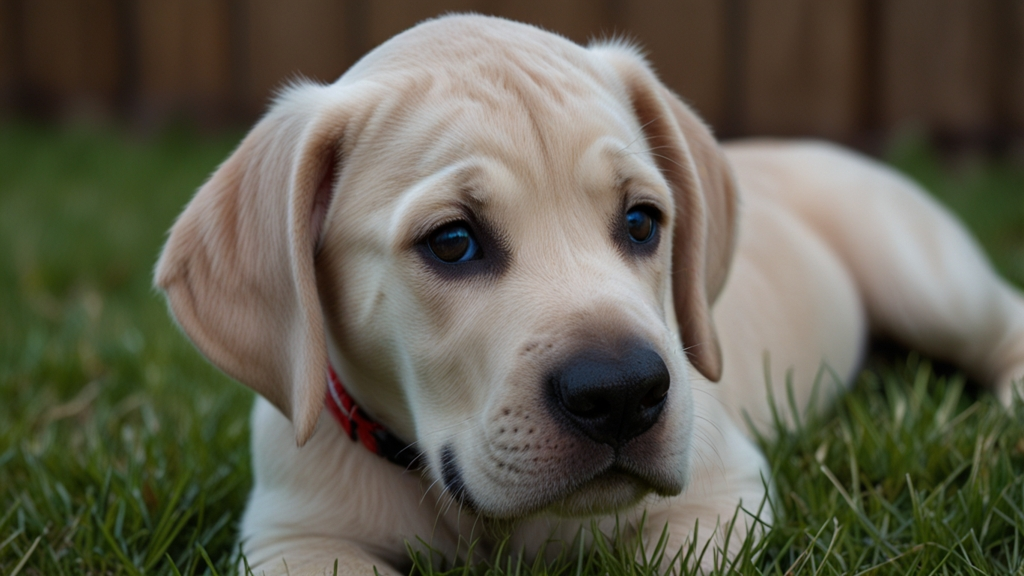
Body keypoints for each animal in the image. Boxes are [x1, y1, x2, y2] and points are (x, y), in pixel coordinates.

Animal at [151, 13, 1024, 573]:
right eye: (452, 242)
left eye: (641, 223)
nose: (624, 394)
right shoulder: (291, 536)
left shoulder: (721, 497)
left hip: (924, 277)